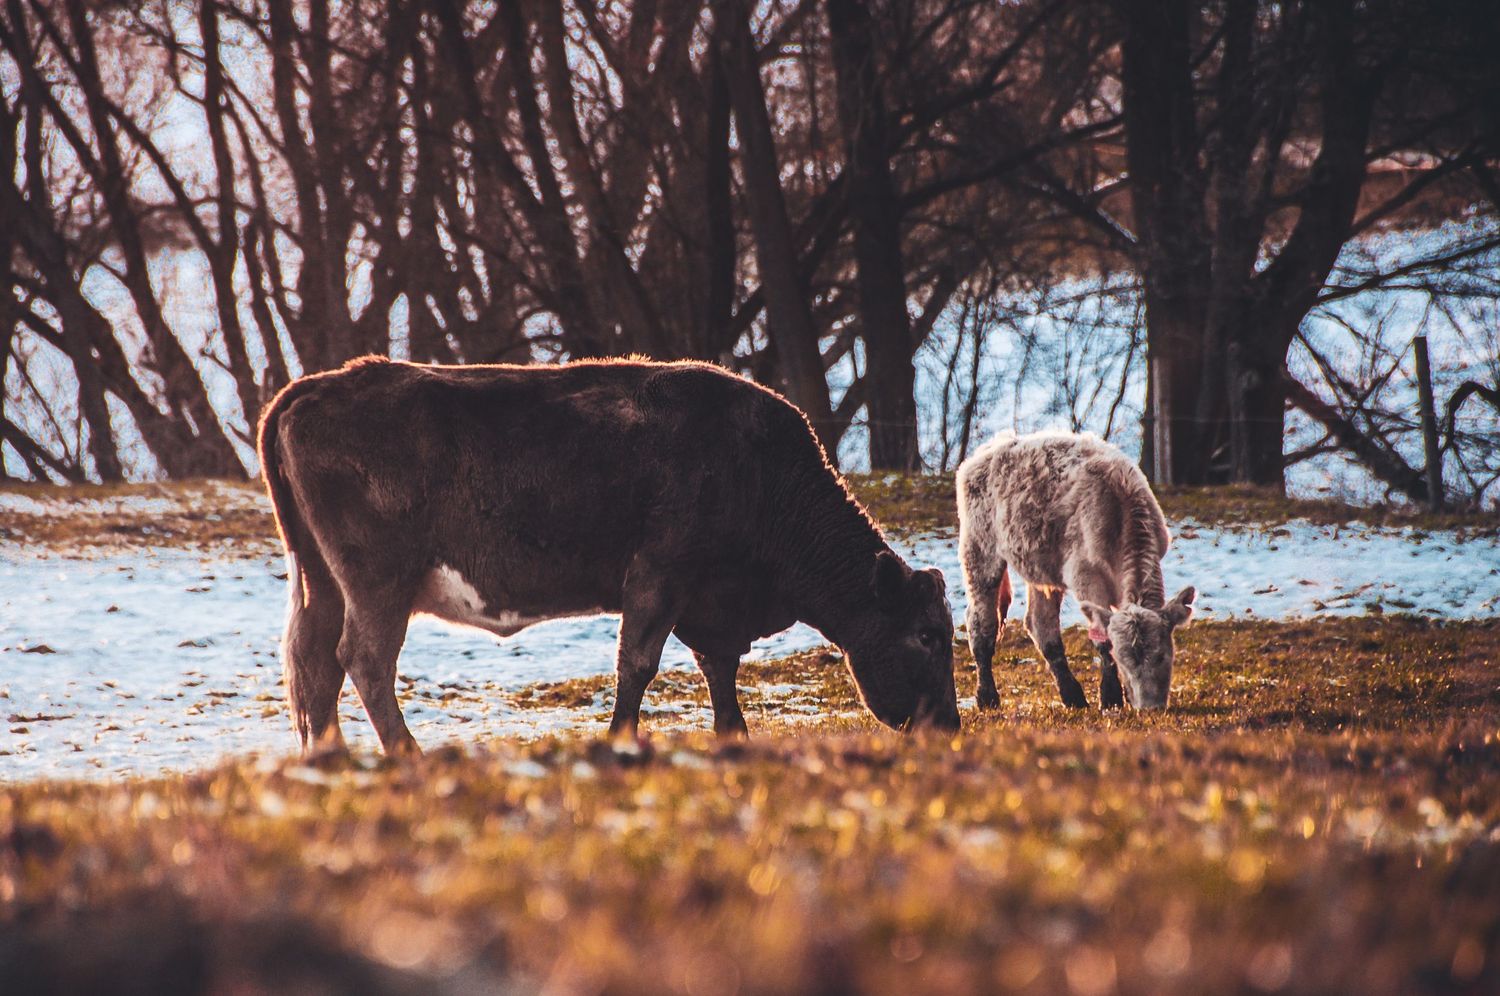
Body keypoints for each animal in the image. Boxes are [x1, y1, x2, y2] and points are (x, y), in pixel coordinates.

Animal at [257, 356, 959, 755]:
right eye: (926, 634)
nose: (951, 725)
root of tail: (316, 386)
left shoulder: (707, 603)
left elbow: (718, 667)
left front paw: (733, 736)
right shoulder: (658, 574)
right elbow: (639, 663)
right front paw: (621, 740)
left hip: (320, 578)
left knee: (313, 664)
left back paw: (329, 760)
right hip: (378, 582)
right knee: (364, 660)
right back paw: (406, 755)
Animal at [956, 430, 1195, 710]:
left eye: (1162, 656)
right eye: (1124, 659)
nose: (1150, 707)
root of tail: (993, 446)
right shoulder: (1085, 575)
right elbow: (1101, 639)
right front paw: (1111, 697)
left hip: (1041, 568)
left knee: (1040, 625)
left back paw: (1072, 696)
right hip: (979, 549)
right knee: (981, 623)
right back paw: (987, 696)